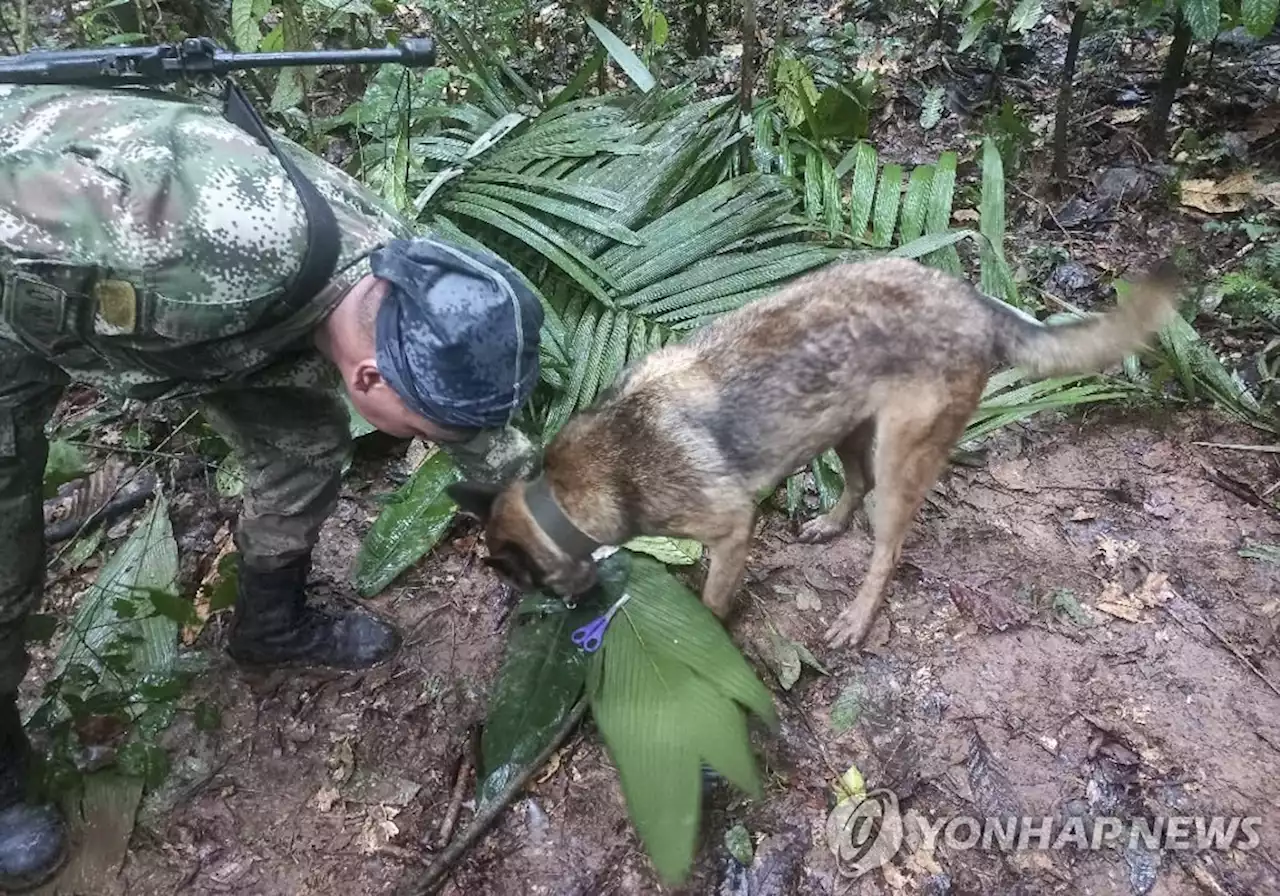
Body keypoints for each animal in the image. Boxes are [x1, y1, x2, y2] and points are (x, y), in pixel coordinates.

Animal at [450, 256, 1177, 647]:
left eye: (524, 583)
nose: (573, 613)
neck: (567, 493)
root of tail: (974, 301)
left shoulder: (730, 528)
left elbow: (713, 599)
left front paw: (707, 634)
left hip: (899, 457)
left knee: (887, 547)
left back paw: (857, 615)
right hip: (845, 428)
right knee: (853, 486)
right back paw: (829, 524)